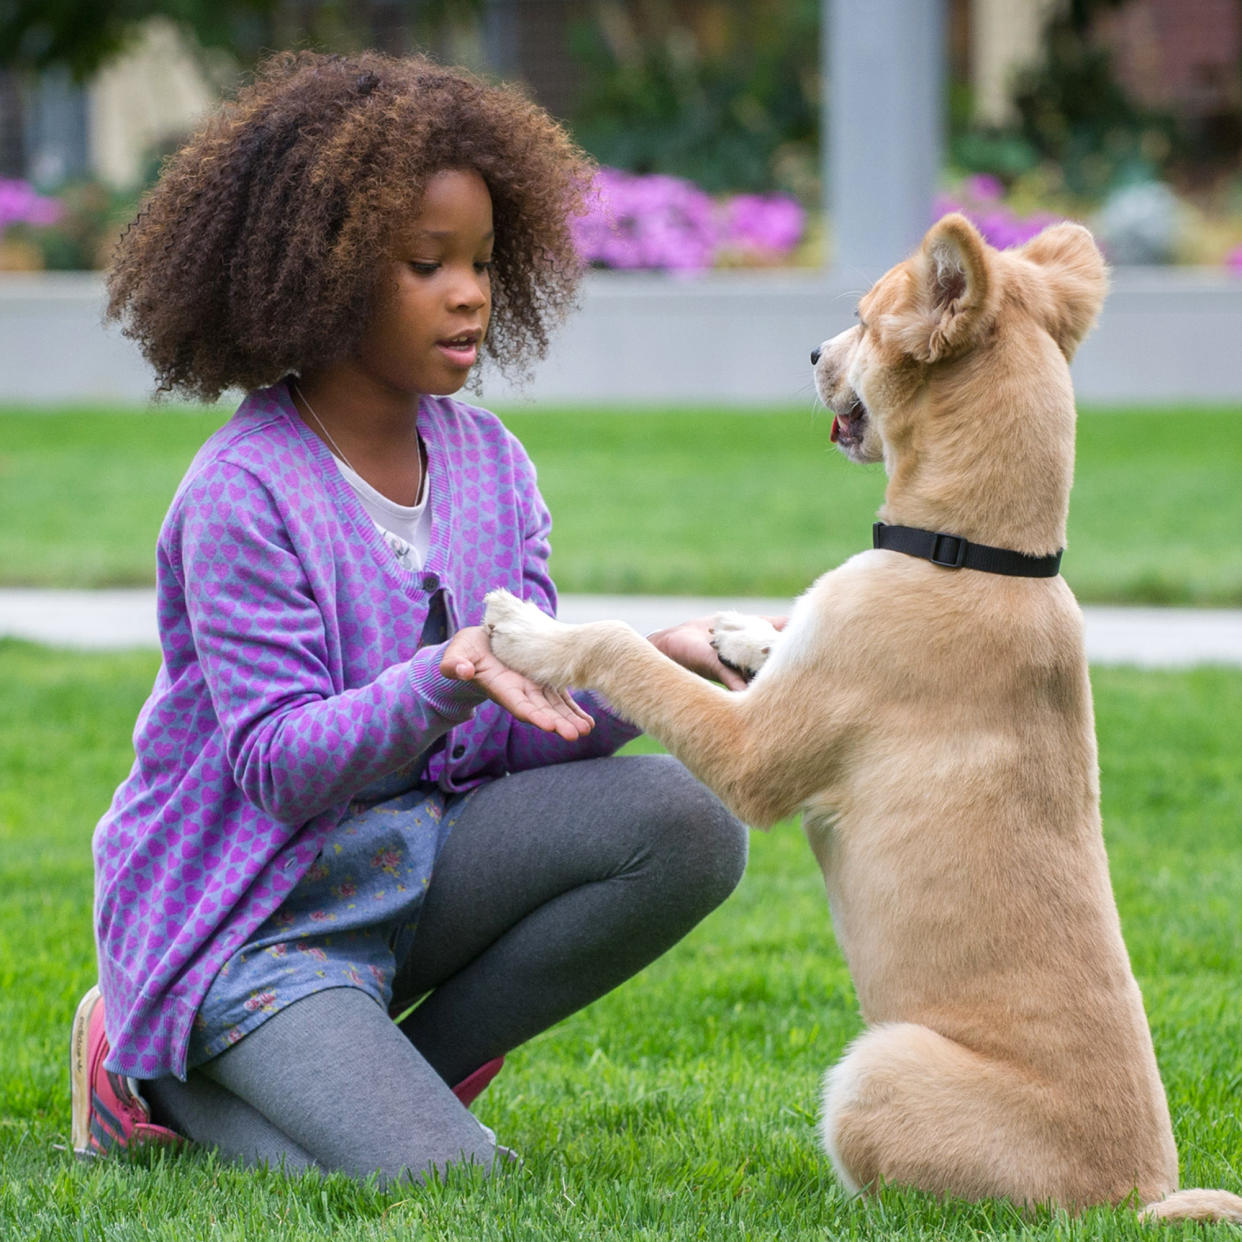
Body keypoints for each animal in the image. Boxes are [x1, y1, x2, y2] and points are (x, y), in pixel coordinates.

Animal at [484, 213, 1242, 1222]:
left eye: (864, 321)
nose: (811, 352)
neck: (974, 553)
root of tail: (1135, 1200)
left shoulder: (753, 754)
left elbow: (619, 646)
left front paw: (533, 633)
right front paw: (740, 635)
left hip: (876, 1068)